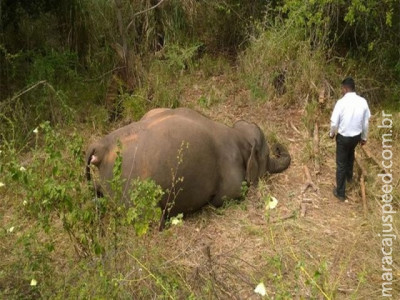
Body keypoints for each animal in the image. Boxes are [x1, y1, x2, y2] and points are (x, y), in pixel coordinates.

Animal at [85, 106, 290, 226]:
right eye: (267, 155)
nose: (278, 146)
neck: (238, 136)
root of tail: (101, 147)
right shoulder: (232, 178)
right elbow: (224, 199)